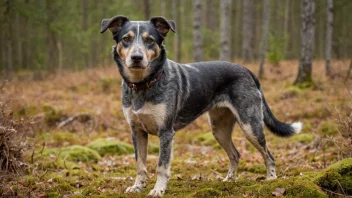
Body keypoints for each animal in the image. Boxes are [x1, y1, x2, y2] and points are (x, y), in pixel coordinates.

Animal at [100, 15, 302, 196]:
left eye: (149, 40)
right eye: (126, 39)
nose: (136, 57)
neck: (143, 84)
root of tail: (247, 70)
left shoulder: (166, 132)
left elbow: (161, 166)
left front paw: (158, 190)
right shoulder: (137, 132)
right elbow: (140, 165)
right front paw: (138, 187)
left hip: (250, 125)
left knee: (269, 155)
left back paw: (271, 179)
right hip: (219, 129)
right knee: (235, 154)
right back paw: (229, 180)